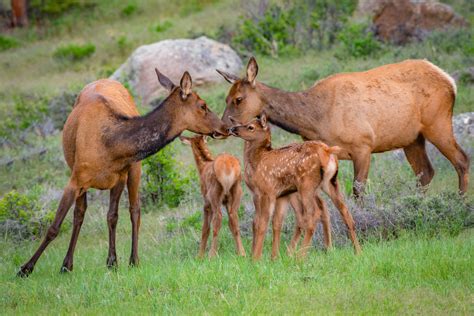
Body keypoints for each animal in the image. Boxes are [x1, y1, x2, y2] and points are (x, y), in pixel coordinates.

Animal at [16, 69, 228, 276]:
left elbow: (112, 217)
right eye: (203, 105)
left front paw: (112, 261)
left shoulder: (119, 177)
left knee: (135, 210)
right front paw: (26, 268)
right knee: (80, 213)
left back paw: (133, 259)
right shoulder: (76, 179)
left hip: (135, 169)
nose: (225, 127)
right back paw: (67, 264)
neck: (111, 146)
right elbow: (55, 226)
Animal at [218, 55, 470, 196]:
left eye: (238, 99)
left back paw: (460, 201)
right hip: (412, 138)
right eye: (225, 98)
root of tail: (450, 81)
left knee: (461, 160)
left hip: (438, 122)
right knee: (425, 172)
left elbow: (358, 189)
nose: (223, 128)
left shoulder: (363, 145)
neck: (315, 120)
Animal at [229, 113, 360, 260]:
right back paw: (357, 251)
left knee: (313, 213)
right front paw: (273, 257)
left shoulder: (266, 191)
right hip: (330, 182)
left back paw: (300, 256)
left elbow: (261, 222)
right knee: (344, 211)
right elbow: (276, 223)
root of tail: (327, 151)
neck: (259, 161)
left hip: (306, 184)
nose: (233, 128)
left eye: (250, 127)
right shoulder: (282, 195)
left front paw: (256, 257)